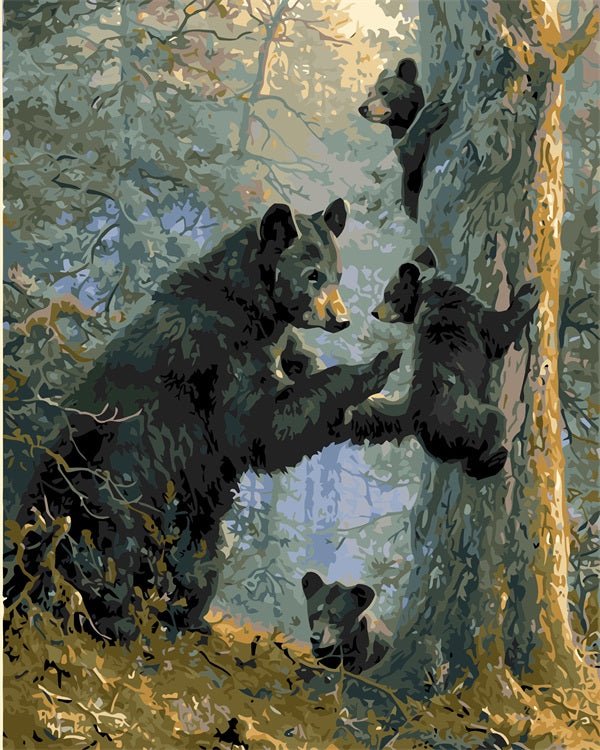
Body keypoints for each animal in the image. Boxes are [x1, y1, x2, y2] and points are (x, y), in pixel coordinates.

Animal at [5, 199, 402, 643]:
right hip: (111, 491)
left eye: (337, 273)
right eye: (312, 273)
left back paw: (187, 620)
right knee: (110, 552)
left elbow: (305, 385)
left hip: (192, 512)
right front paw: (376, 365)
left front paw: (393, 410)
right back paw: (113, 619)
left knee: (199, 560)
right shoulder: (220, 351)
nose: (341, 318)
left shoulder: (280, 343)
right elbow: (258, 428)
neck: (252, 305)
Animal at [349, 246, 540, 479]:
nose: (375, 312)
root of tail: (413, 414)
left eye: (388, 294)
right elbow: (498, 331)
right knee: (492, 424)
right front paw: (530, 289)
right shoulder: (469, 312)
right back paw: (495, 458)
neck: (428, 288)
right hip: (466, 415)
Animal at [359, 57, 449, 221]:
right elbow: (410, 157)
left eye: (384, 92)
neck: (401, 124)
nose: (363, 108)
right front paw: (434, 113)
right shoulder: (398, 149)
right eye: (369, 94)